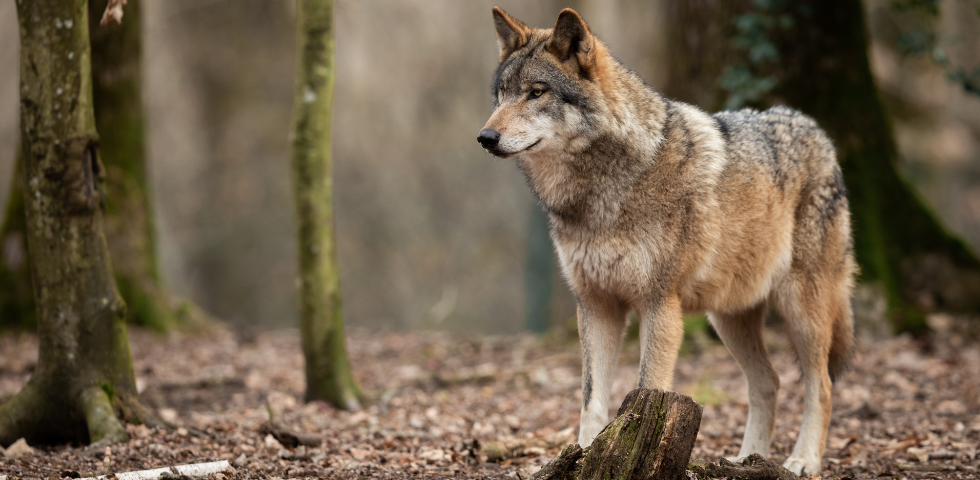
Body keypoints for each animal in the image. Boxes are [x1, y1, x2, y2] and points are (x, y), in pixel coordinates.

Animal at [476, 7, 856, 476]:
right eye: (502, 94)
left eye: (536, 93)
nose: (485, 138)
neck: (600, 193)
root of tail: (816, 129)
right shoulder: (596, 305)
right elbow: (591, 401)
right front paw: (584, 456)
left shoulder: (659, 305)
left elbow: (646, 390)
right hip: (728, 318)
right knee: (769, 381)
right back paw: (747, 459)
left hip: (802, 310)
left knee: (821, 385)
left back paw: (802, 460)